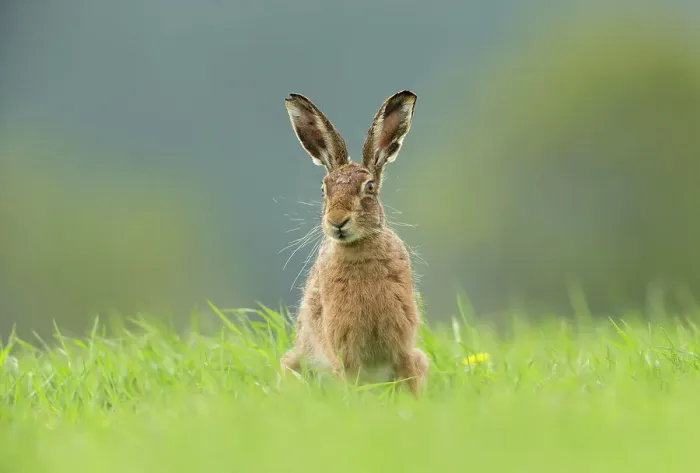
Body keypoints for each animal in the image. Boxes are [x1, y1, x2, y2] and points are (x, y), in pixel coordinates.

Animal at [280, 90, 429, 396]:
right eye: (323, 190)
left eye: (369, 188)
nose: (337, 221)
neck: (359, 249)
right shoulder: (344, 351)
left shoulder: (403, 346)